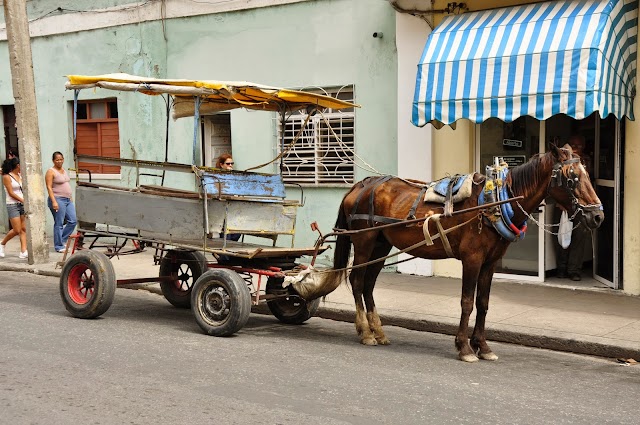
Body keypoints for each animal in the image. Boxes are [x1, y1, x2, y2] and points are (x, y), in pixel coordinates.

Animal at [296, 145, 604, 362]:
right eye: (572, 178)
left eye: (587, 175)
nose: (598, 216)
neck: (494, 201)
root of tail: (361, 184)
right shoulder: (472, 259)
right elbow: (467, 302)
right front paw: (465, 346)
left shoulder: (490, 262)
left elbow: (483, 303)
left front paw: (483, 346)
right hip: (364, 242)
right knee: (358, 282)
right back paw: (364, 331)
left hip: (381, 246)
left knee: (369, 284)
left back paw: (379, 331)